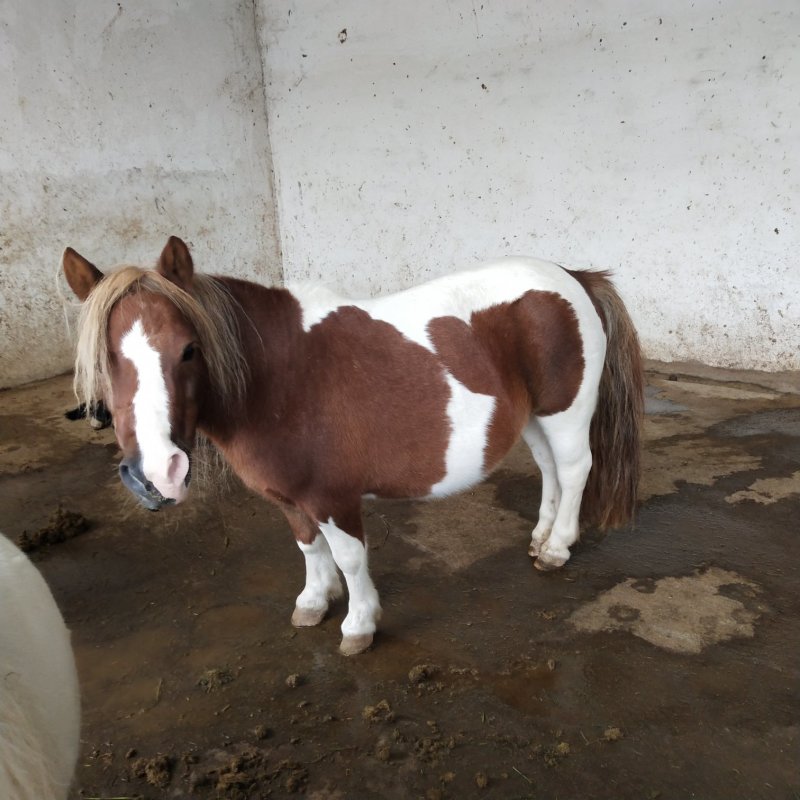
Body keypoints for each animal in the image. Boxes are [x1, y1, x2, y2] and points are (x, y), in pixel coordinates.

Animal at [63, 236, 643, 655]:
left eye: (189, 349)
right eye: (102, 360)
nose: (157, 473)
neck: (281, 377)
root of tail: (573, 277)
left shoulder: (332, 498)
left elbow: (349, 557)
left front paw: (359, 624)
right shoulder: (290, 498)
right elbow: (308, 547)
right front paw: (313, 602)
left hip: (566, 413)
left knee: (575, 469)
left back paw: (558, 548)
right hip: (535, 418)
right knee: (549, 469)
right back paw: (540, 536)